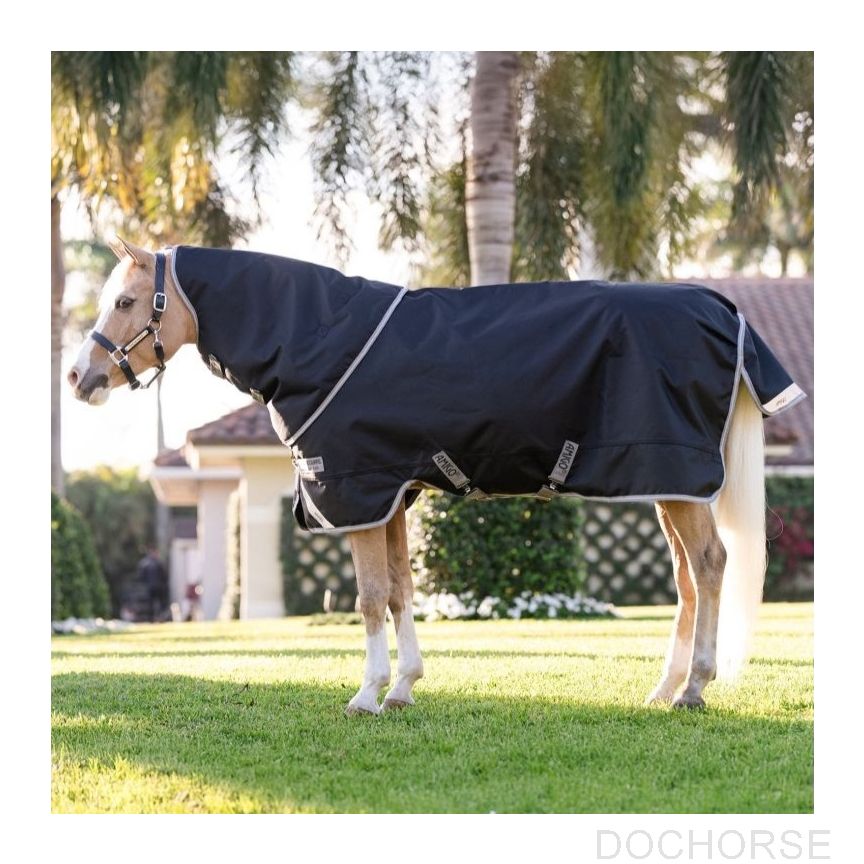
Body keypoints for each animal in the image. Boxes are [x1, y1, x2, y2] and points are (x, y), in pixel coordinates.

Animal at [68, 236, 804, 713]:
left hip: (678, 479)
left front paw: (366, 694)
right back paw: (663, 688)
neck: (314, 338)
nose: (79, 377)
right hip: (667, 484)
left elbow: (368, 597)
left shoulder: (358, 490)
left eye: (127, 302)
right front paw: (403, 687)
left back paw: (695, 689)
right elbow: (399, 591)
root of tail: (720, 308)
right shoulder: (392, 495)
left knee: (710, 566)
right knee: (687, 578)